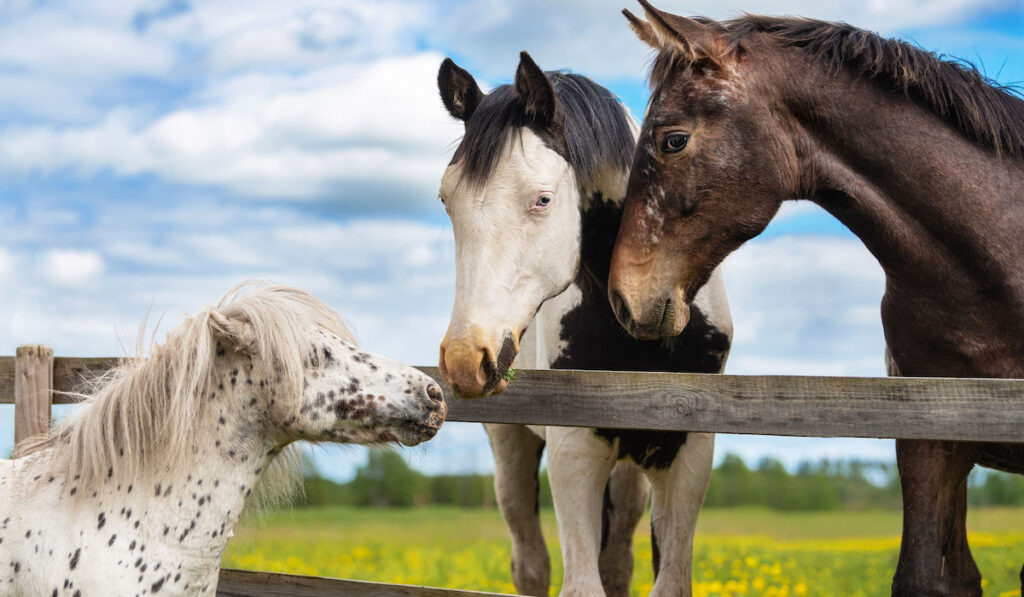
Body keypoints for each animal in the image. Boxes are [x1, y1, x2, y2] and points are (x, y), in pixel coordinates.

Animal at [436, 52, 733, 597]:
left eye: (543, 199)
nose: (466, 359)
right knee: (531, 562)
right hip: (511, 446)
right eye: (447, 200)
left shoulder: (688, 449)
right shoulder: (573, 448)